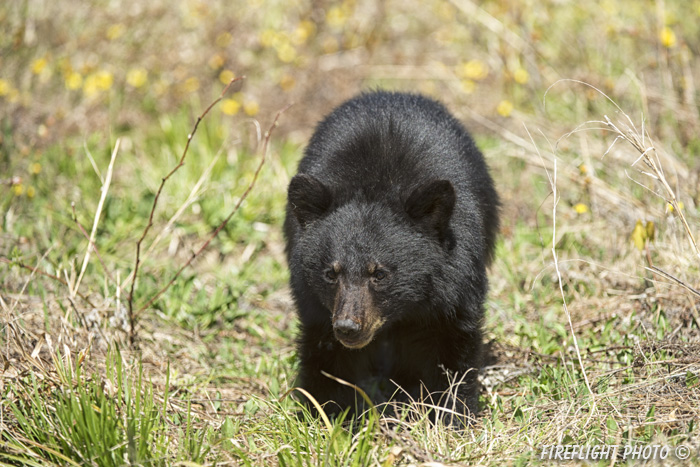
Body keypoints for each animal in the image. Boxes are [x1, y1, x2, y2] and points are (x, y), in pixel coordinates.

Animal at [282, 91, 500, 428]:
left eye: (380, 273)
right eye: (331, 273)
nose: (348, 327)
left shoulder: (456, 279)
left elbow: (453, 343)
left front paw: (452, 414)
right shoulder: (314, 300)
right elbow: (325, 351)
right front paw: (327, 413)